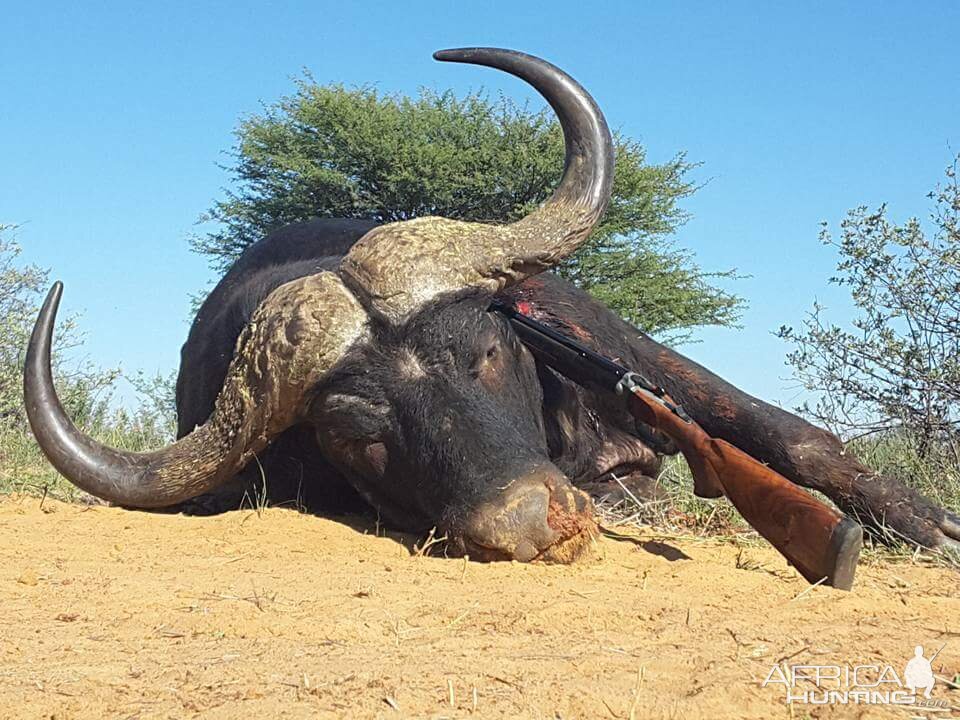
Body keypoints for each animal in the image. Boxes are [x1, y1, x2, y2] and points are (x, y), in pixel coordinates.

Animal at [22, 46, 960, 564]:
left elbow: (789, 435)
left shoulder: (618, 345)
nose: (534, 523)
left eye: (488, 354)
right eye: (353, 433)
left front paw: (924, 523)